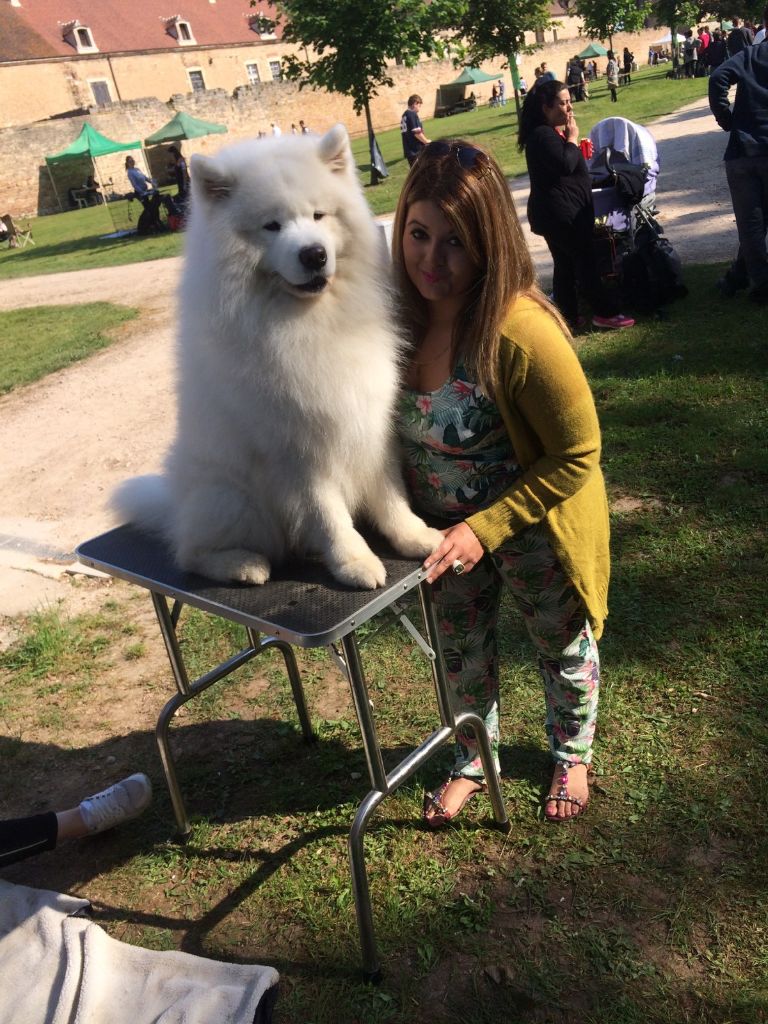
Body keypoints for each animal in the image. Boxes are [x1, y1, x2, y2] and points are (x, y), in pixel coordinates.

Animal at [112, 124, 441, 589]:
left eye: (319, 216)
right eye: (271, 226)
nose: (314, 254)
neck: (310, 323)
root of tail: (176, 504)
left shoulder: (369, 423)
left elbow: (389, 493)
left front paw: (414, 536)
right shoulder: (295, 451)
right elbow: (329, 515)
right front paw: (354, 562)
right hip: (235, 500)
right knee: (190, 554)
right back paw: (243, 565)